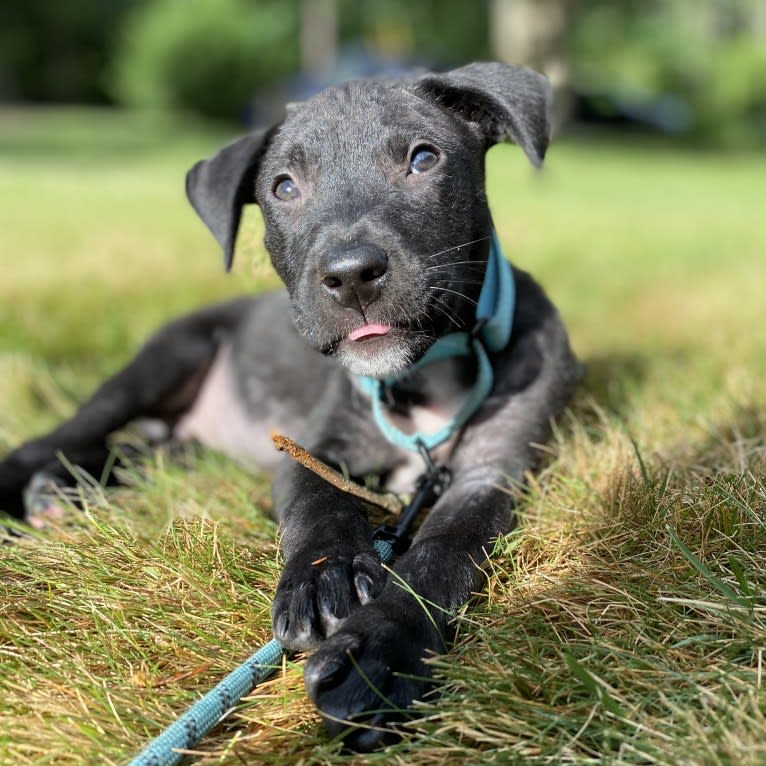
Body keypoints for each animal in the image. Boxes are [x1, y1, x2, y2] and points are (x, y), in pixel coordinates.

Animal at [0, 64, 576, 752]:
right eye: (284, 187)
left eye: (423, 158)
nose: (351, 275)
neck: (425, 373)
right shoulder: (312, 446)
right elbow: (317, 500)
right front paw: (324, 576)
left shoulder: (494, 472)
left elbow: (444, 550)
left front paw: (381, 651)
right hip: (162, 361)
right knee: (60, 439)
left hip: (185, 439)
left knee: (144, 451)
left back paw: (69, 490)